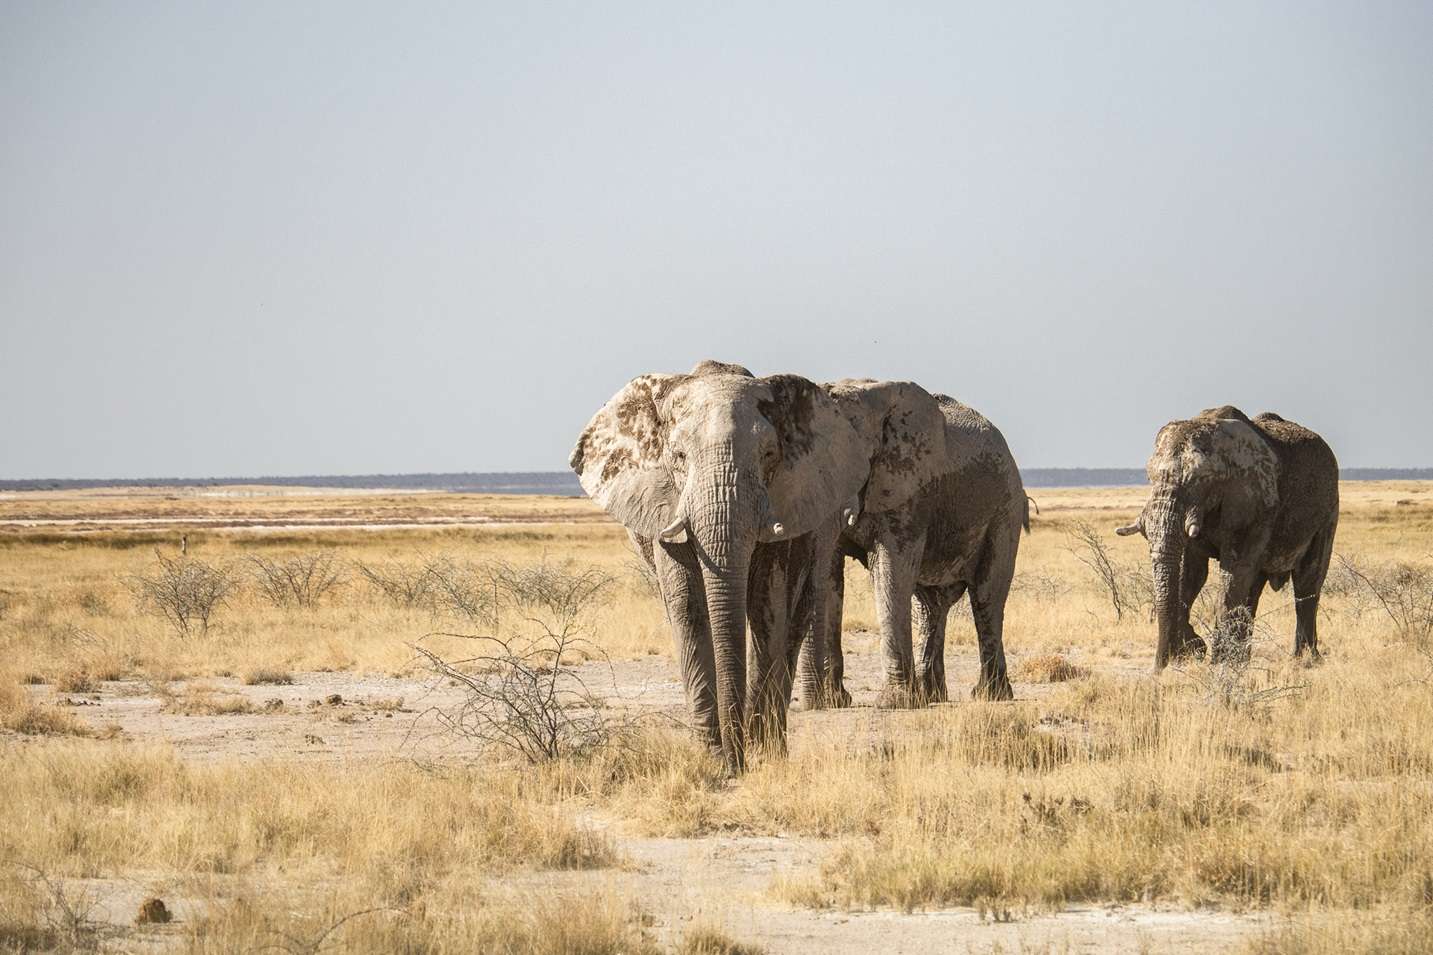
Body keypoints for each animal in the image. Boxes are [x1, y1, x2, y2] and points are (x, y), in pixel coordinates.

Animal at [569, 361, 868, 771]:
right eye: (678, 457)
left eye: (769, 454)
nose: (736, 762)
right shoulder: (667, 508)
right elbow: (688, 607)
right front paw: (713, 758)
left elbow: (767, 605)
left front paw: (758, 754)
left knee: (794, 617)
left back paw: (773, 746)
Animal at [796, 382, 1029, 708]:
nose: (814, 703)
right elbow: (831, 576)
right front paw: (836, 701)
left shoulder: (909, 490)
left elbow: (890, 573)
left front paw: (893, 702)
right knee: (930, 606)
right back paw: (933, 696)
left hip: (1005, 508)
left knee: (986, 597)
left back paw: (989, 696)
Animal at [1115, 406, 1339, 669]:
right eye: (1149, 477)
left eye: (1201, 479)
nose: (1159, 668)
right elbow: (1191, 573)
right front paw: (1195, 649)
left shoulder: (1254, 502)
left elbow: (1233, 573)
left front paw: (1215, 661)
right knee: (1255, 588)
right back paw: (1244, 659)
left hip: (1328, 512)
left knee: (1307, 583)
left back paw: (1304, 659)